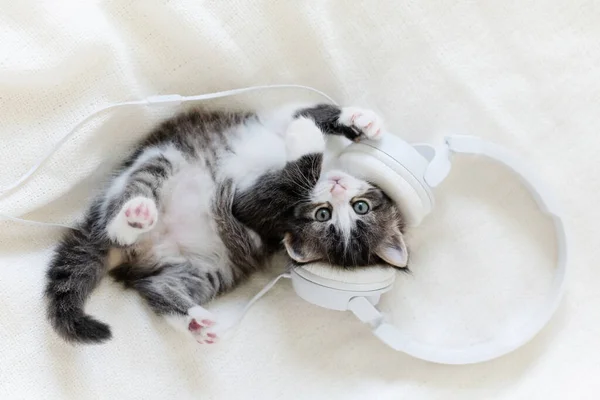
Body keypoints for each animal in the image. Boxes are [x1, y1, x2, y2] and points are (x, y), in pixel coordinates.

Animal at [44, 102, 406, 344]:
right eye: (327, 213)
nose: (337, 187)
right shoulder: (277, 118)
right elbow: (309, 112)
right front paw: (359, 120)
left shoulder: (256, 211)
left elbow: (278, 185)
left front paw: (307, 139)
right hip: (161, 157)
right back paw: (136, 215)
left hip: (207, 269)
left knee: (154, 285)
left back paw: (190, 318)